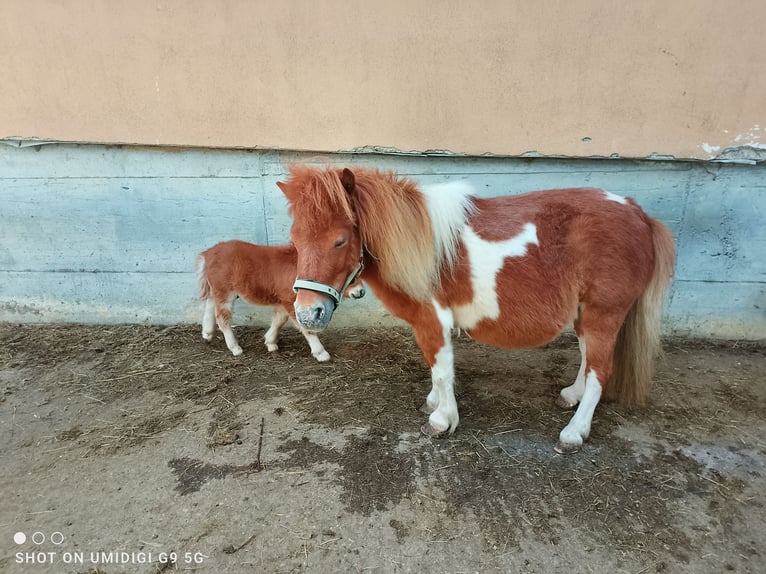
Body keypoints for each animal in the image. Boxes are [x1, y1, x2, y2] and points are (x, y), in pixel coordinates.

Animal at [195, 240, 365, 361]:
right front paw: (321, 353)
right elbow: (305, 328)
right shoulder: (292, 302)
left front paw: (270, 342)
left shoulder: (283, 301)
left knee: (210, 305)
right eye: (351, 277)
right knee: (222, 317)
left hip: (217, 290)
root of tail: (208, 253)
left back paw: (207, 333)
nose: (361, 291)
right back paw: (235, 347)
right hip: (225, 292)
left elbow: (279, 320)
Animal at [277, 166, 676, 453]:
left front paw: (442, 420)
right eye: (295, 241)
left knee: (599, 371)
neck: (420, 244)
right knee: (587, 358)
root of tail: (639, 214)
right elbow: (436, 368)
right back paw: (572, 396)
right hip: (584, 315)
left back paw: (575, 431)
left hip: (602, 314)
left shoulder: (433, 320)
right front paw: (434, 404)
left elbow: (441, 369)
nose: (308, 313)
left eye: (339, 240)